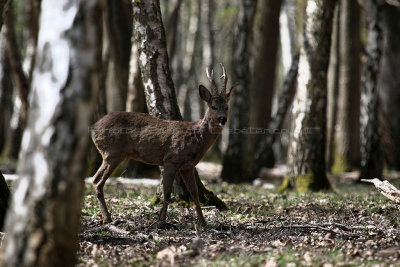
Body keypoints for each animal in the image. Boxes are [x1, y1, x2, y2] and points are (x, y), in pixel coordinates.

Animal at [90, 64, 234, 226]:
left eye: (227, 106)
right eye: (213, 106)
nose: (222, 119)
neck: (196, 138)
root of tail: (93, 128)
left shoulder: (188, 166)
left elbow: (194, 193)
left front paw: (202, 222)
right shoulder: (171, 159)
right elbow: (167, 192)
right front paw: (162, 220)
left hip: (111, 154)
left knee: (95, 180)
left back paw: (106, 217)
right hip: (112, 153)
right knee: (97, 181)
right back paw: (107, 218)